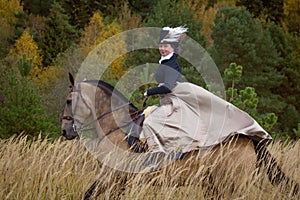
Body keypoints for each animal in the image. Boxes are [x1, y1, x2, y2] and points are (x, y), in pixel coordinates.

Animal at [61, 74, 300, 199]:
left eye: (68, 100)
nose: (65, 130)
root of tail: (249, 139)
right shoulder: (117, 181)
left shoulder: (110, 177)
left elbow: (87, 195)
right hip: (214, 186)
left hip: (231, 184)